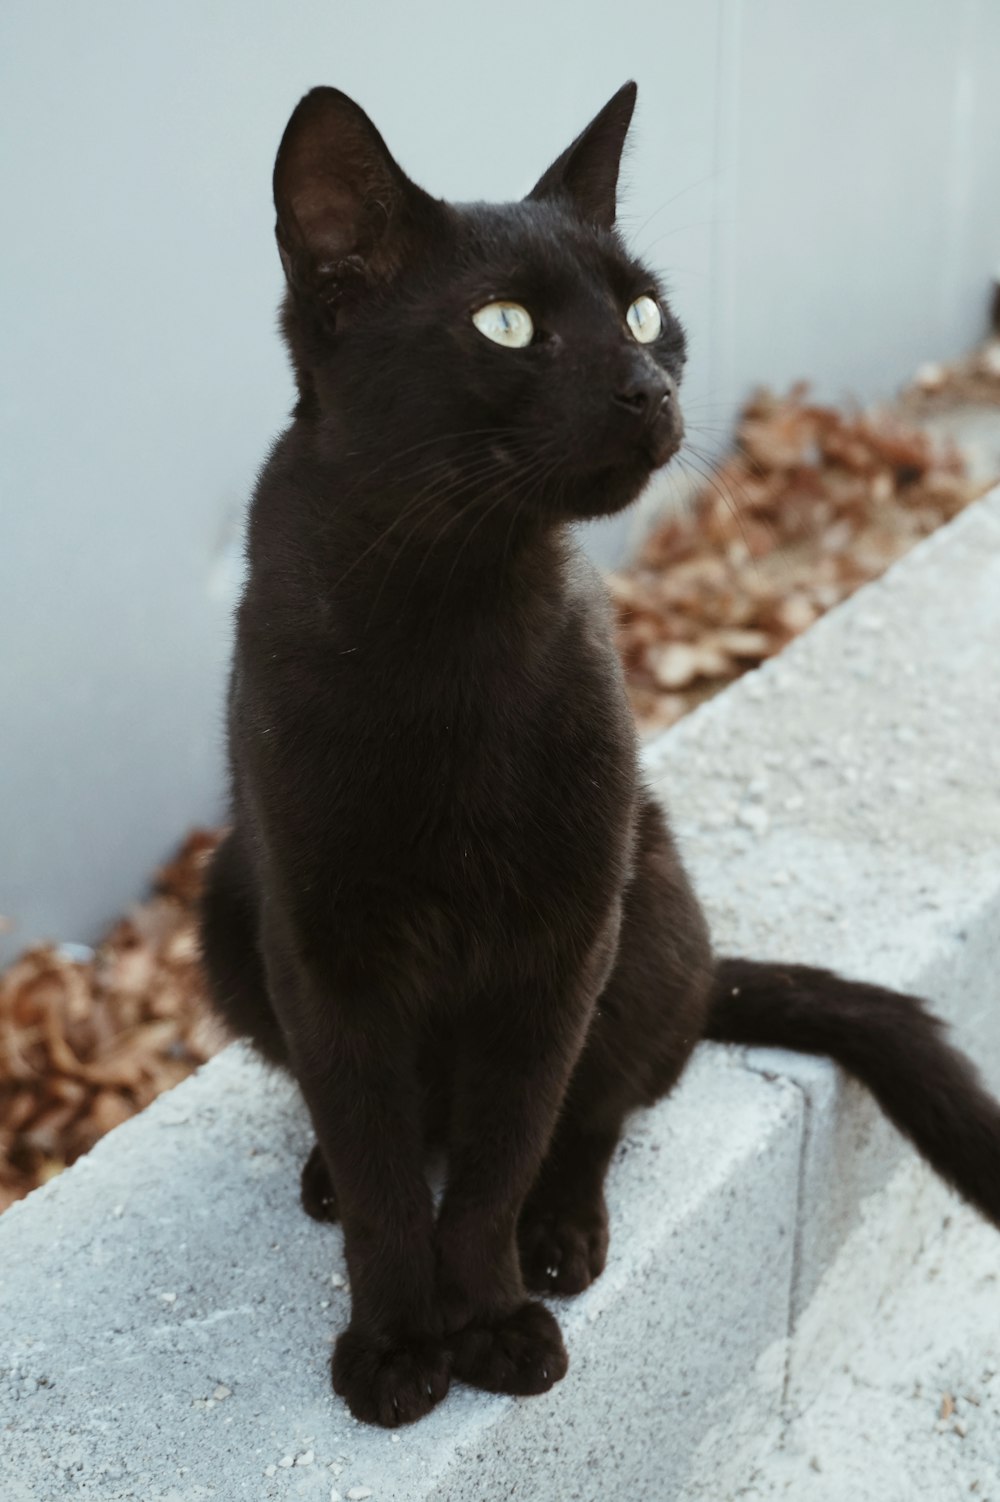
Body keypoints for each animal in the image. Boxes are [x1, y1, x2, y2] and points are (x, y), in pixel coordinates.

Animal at [198, 85, 996, 1429]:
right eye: (505, 324)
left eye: (641, 312)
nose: (642, 385)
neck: (453, 609)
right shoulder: (324, 943)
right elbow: (378, 1163)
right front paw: (396, 1339)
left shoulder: (558, 934)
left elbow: (503, 1150)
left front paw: (488, 1319)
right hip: (229, 906)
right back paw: (329, 1175)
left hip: (648, 890)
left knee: (601, 1104)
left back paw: (561, 1234)